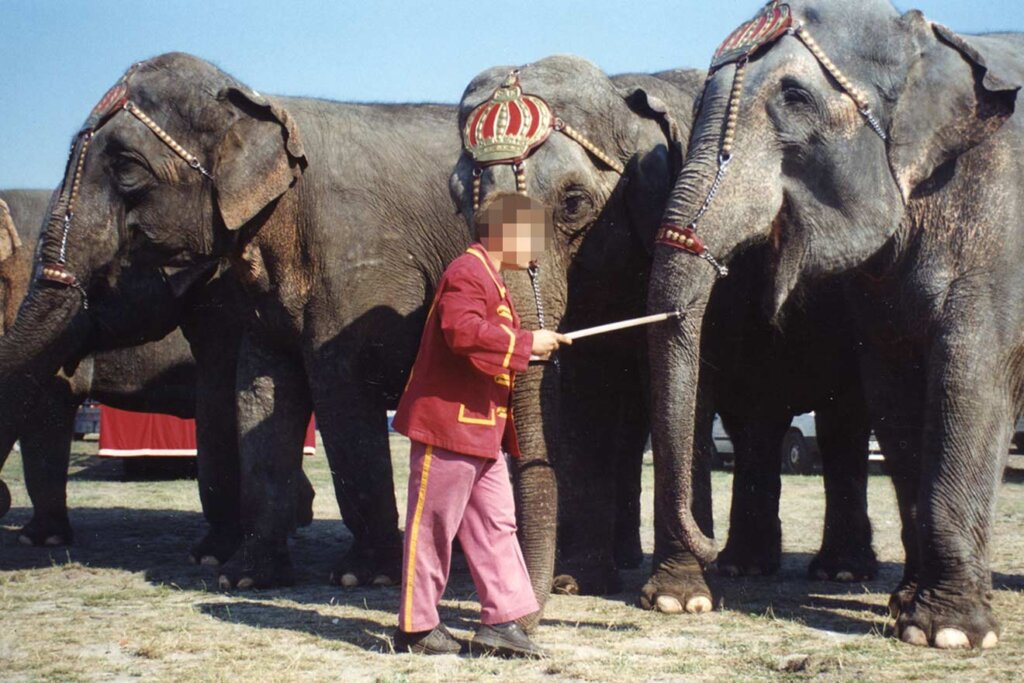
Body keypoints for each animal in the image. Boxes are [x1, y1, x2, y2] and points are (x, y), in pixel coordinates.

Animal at [647, 0, 1024, 651]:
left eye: (796, 97)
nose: (705, 542)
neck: (928, 41)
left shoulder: (1002, 225)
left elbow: (970, 373)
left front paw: (947, 634)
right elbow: (893, 391)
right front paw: (907, 612)